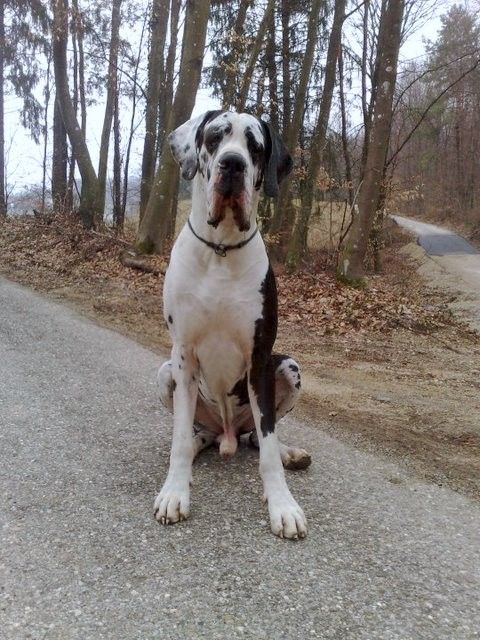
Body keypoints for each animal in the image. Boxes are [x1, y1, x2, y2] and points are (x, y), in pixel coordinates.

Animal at [154, 111, 310, 539]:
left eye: (254, 146)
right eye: (214, 138)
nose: (233, 165)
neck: (221, 249)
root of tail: (227, 434)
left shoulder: (260, 357)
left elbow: (268, 445)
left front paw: (282, 505)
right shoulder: (183, 355)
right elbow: (178, 439)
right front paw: (175, 491)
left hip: (287, 366)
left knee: (257, 436)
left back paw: (290, 452)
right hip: (165, 373)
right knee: (197, 435)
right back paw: (199, 445)